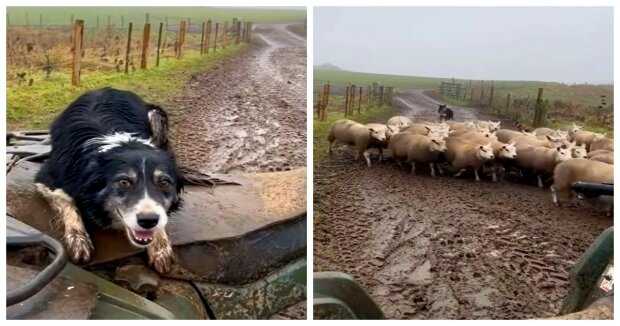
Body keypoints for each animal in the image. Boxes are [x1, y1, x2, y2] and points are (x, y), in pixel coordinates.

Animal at [34, 86, 182, 272]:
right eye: (124, 182)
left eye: (164, 183)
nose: (148, 221)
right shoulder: (47, 176)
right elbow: (68, 202)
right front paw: (78, 240)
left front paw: (160, 247)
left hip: (155, 115)